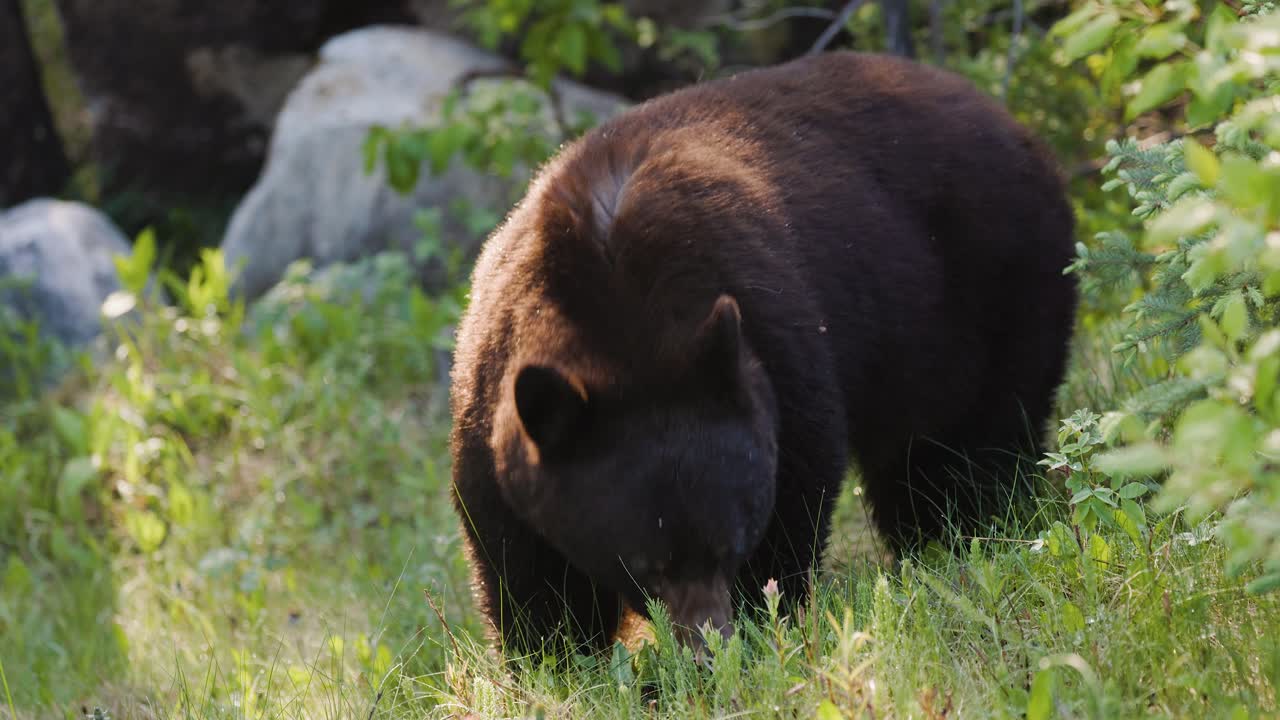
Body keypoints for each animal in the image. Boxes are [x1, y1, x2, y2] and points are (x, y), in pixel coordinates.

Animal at [447, 50, 1078, 659]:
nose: (708, 650)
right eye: (648, 566)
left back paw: (967, 534)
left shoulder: (775, 343)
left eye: (729, 548)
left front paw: (763, 616)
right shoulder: (491, 396)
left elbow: (794, 488)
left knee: (972, 445)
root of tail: (1012, 122)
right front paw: (552, 656)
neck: (620, 315)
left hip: (997, 290)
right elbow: (518, 557)